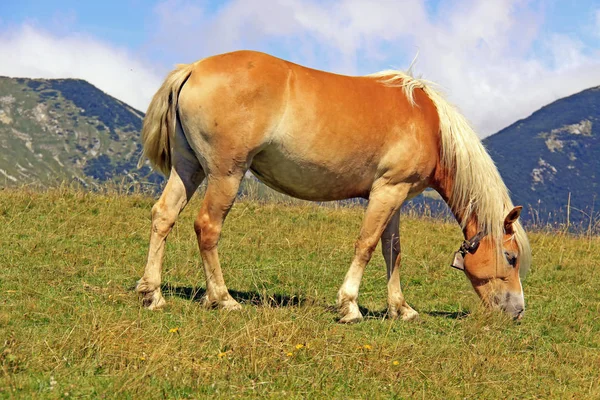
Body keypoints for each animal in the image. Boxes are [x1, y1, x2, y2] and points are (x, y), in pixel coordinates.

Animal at [135, 50, 528, 324]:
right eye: (511, 257)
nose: (518, 310)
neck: (429, 124)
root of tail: (193, 68)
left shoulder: (396, 196)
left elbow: (393, 251)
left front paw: (401, 308)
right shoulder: (387, 191)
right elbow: (367, 245)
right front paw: (350, 306)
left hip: (188, 169)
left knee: (163, 217)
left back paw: (153, 294)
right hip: (225, 175)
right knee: (207, 228)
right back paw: (223, 298)